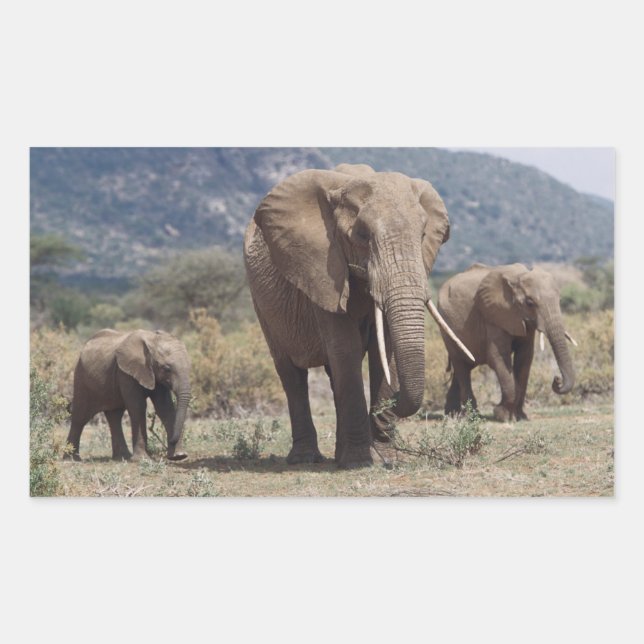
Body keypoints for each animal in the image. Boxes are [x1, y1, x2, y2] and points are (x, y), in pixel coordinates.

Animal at [65, 329, 192, 461]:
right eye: (167, 369)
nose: (171, 441)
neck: (152, 340)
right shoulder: (126, 373)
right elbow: (138, 407)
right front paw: (142, 459)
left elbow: (165, 408)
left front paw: (179, 456)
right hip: (81, 378)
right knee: (80, 417)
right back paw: (71, 459)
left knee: (114, 416)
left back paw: (121, 457)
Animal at [243, 163, 472, 468]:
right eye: (362, 236)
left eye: (423, 235)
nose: (394, 403)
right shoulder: (322, 269)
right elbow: (346, 349)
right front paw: (358, 462)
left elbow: (383, 351)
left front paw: (386, 458)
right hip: (262, 303)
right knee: (291, 373)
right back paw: (306, 459)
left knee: (332, 374)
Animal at [437, 263, 577, 422]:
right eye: (530, 303)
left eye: (559, 300)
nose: (557, 379)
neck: (518, 276)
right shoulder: (494, 317)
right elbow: (498, 357)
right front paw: (502, 415)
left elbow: (525, 358)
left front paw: (520, 417)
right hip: (446, 328)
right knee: (461, 365)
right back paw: (472, 416)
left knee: (463, 366)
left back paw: (452, 414)